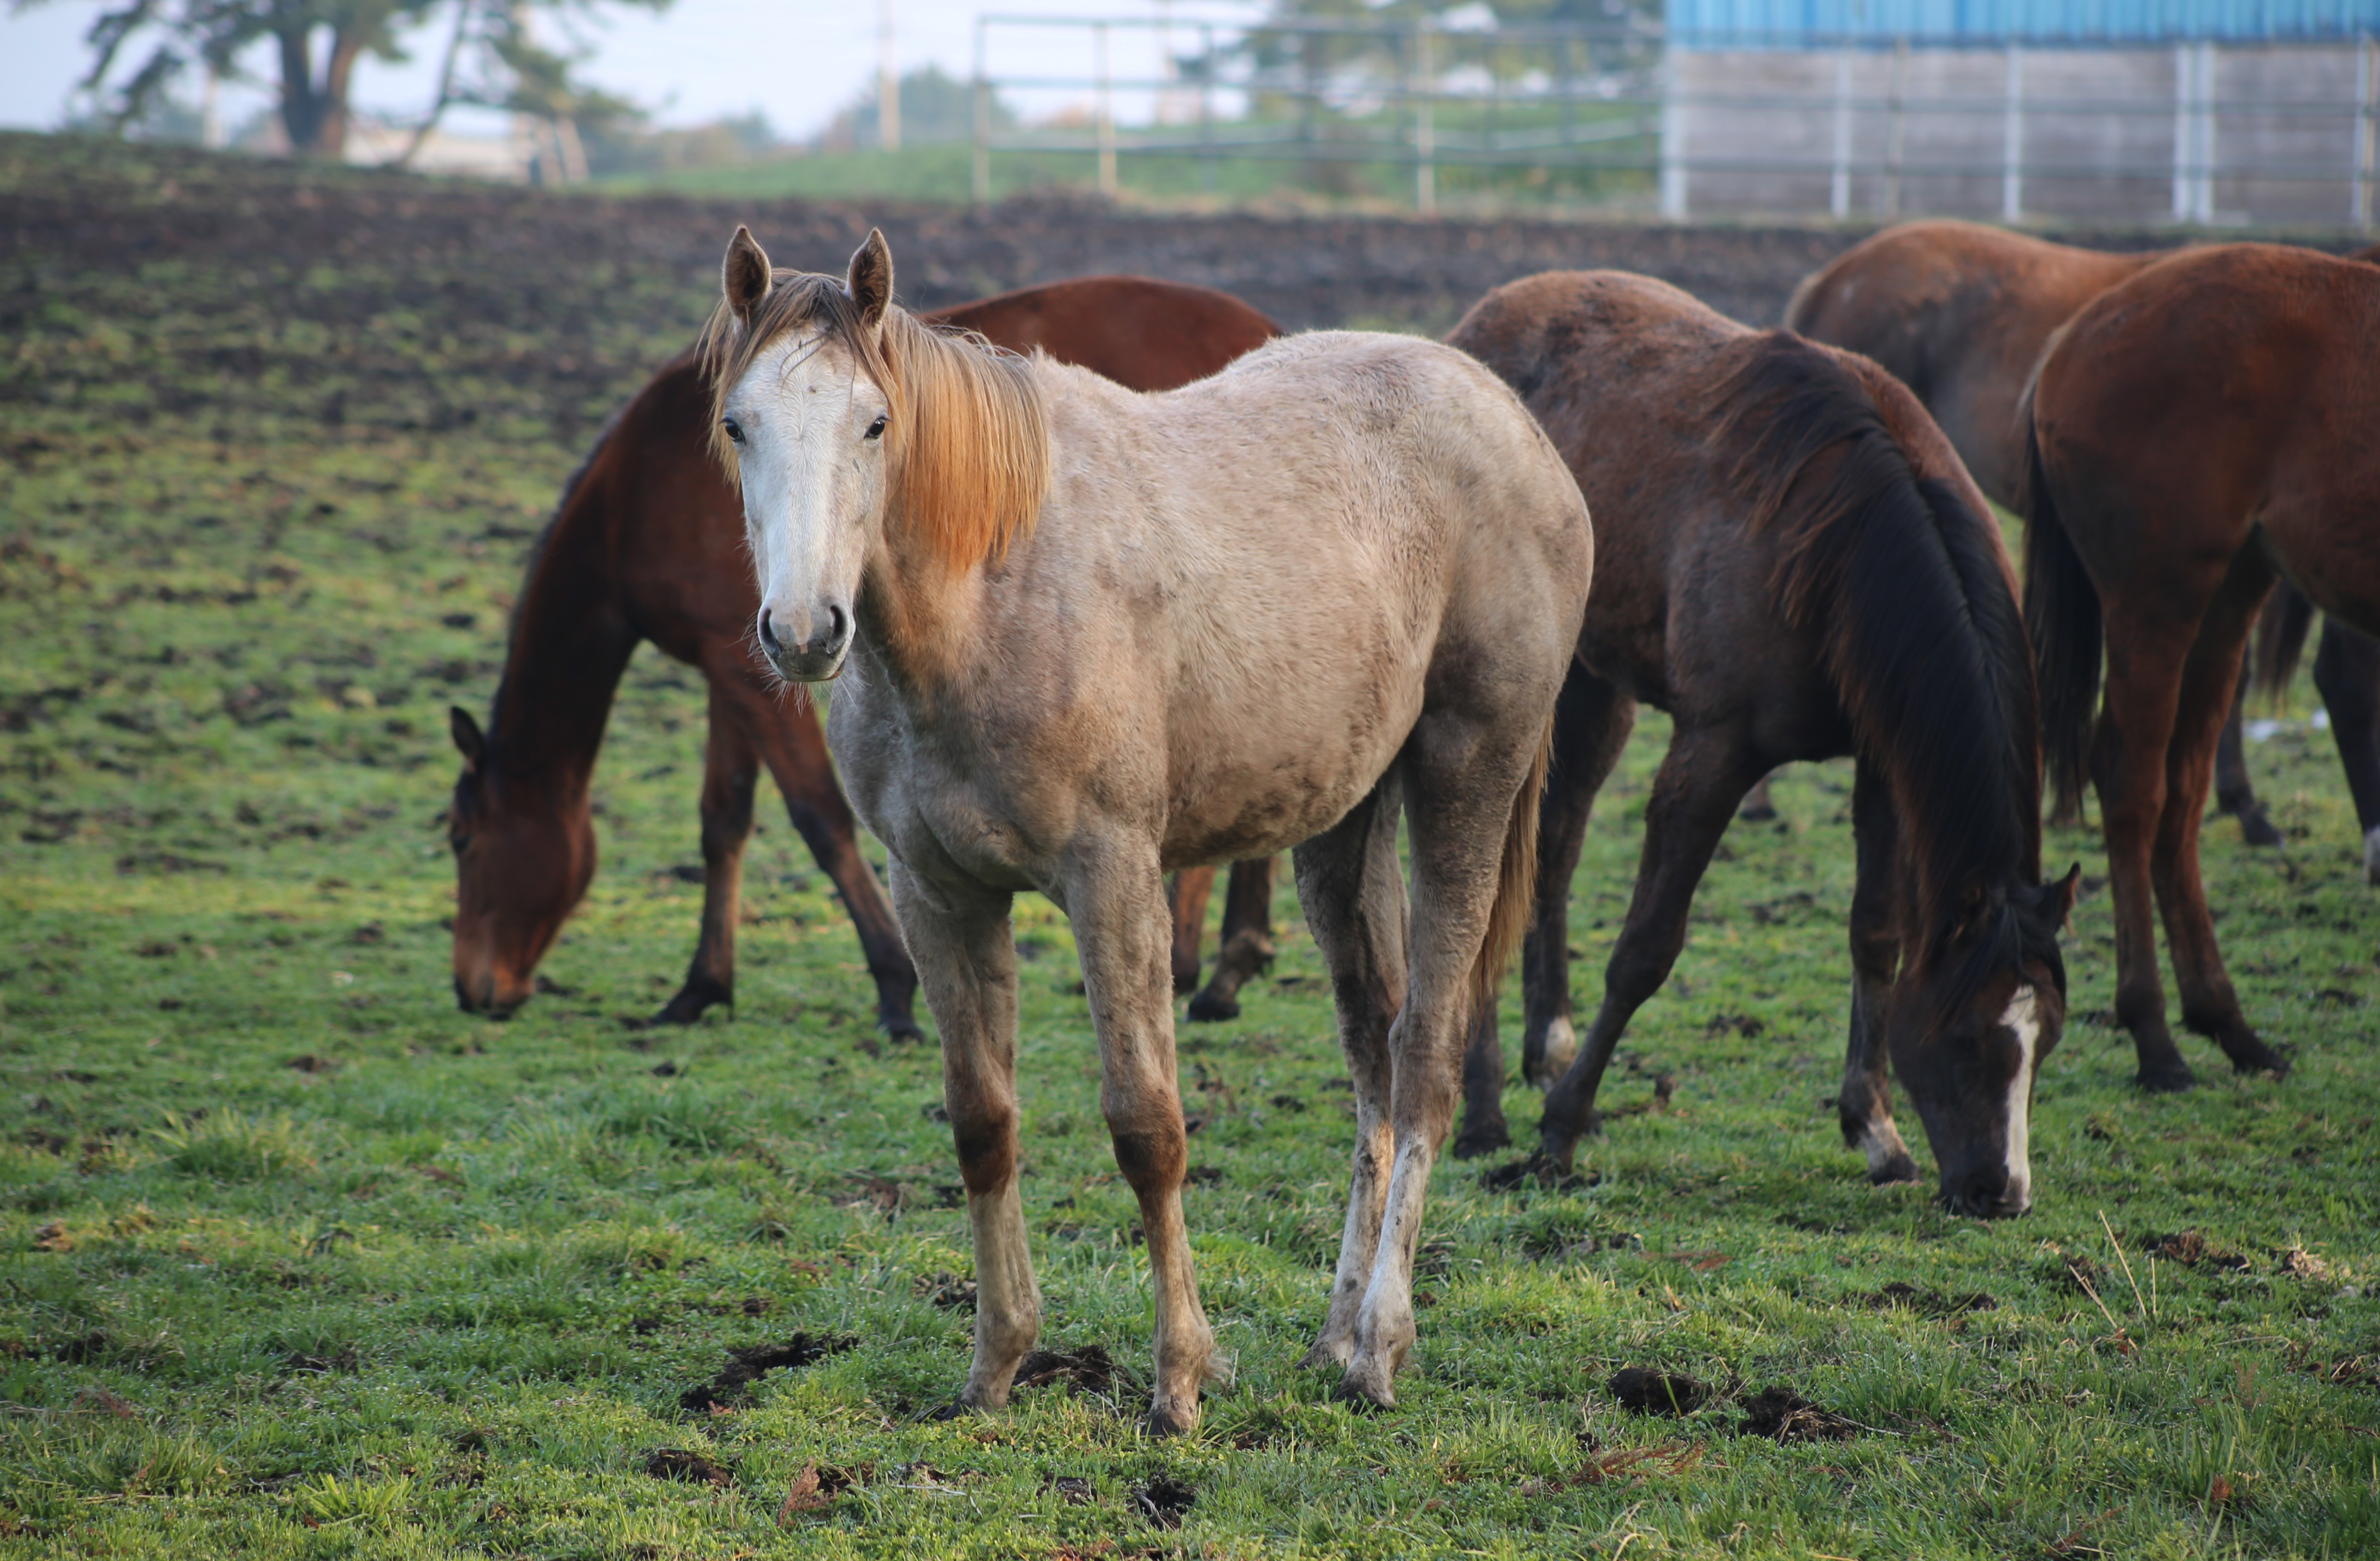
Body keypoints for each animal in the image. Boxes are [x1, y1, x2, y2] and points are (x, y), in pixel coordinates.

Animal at [447, 271, 1285, 1023]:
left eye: (462, 839)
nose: (475, 988)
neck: (637, 494)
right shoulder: (734, 666)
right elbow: (723, 819)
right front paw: (701, 987)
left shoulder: (755, 671)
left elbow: (818, 817)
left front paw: (892, 982)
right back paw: (1224, 967)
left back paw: (1200, 966)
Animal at [699, 226, 1599, 1437]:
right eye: (736, 423)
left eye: (874, 422)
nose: (803, 631)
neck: (988, 598)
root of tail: (1505, 415)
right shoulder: (935, 889)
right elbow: (981, 1121)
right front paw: (994, 1364)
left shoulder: (1111, 877)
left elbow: (1147, 1127)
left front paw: (1179, 1378)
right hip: (1340, 822)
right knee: (1370, 1048)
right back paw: (1331, 1334)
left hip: (1467, 776)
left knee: (1423, 1055)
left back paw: (1376, 1345)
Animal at [1437, 271, 2075, 1218]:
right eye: (1967, 1035)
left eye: (2049, 1038)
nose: (2002, 1192)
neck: (1840, 544)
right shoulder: (1713, 752)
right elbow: (1645, 950)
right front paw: (1559, 1133)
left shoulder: (1883, 764)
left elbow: (1874, 934)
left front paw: (1874, 1127)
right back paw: (1483, 1109)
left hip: (1596, 685)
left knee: (1555, 849)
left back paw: (1545, 1045)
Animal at [2027, 247, 2380, 1099]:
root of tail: (2070, 341)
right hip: (2161, 595)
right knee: (2133, 783)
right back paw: (2156, 1036)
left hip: (2231, 591)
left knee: (2182, 791)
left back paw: (2228, 1023)